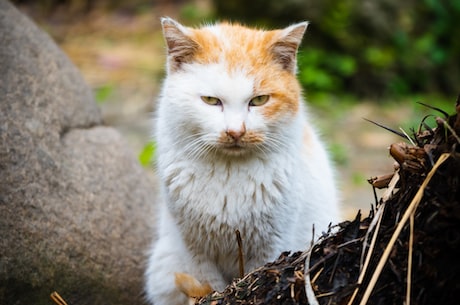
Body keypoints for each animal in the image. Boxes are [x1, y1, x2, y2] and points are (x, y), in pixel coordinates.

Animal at [146, 17, 340, 304]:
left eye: (259, 100)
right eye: (211, 100)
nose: (235, 132)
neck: (229, 173)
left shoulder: (272, 245)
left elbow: (255, 276)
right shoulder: (194, 250)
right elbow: (211, 286)